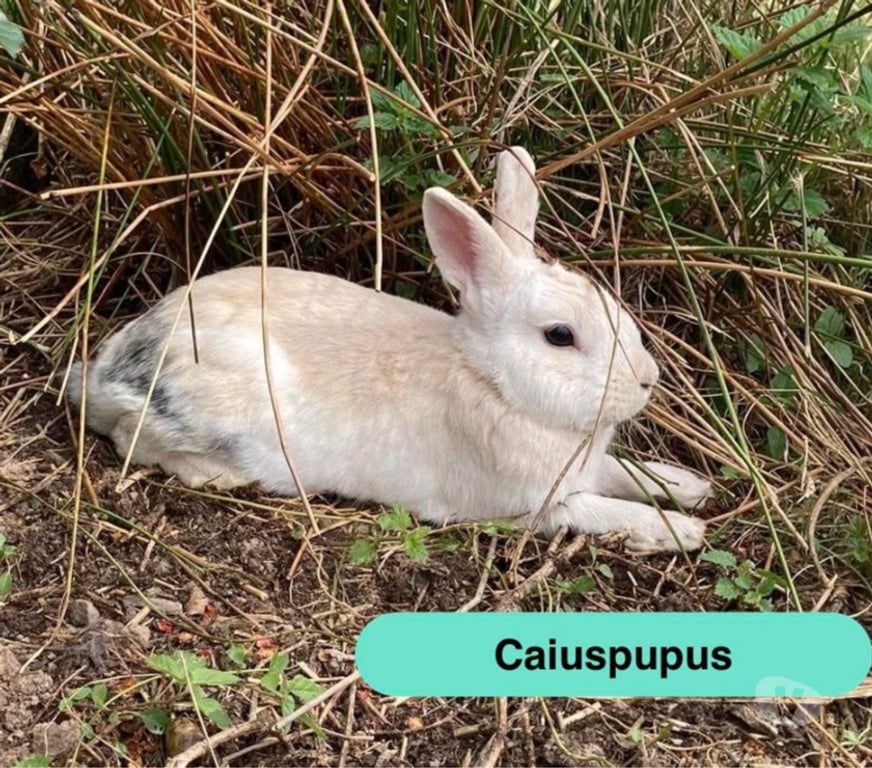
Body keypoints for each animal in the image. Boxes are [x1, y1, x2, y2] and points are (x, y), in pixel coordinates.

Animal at [68, 146, 711, 553]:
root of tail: (106, 369)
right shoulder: (539, 507)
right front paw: (682, 531)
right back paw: (219, 476)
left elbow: (626, 473)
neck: (491, 383)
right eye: (560, 336)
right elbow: (599, 510)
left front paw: (690, 487)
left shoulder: (588, 468)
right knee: (130, 440)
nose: (648, 379)